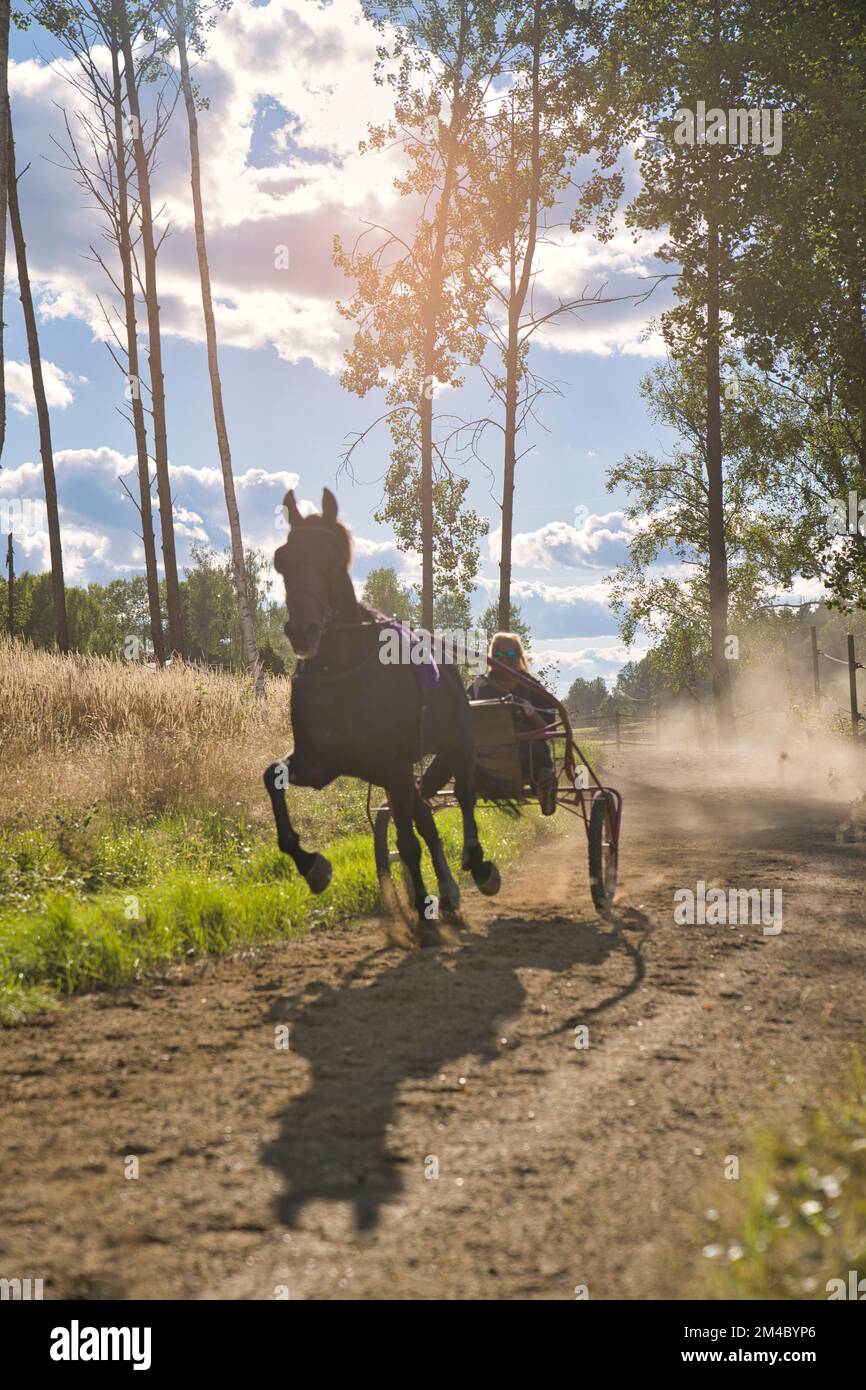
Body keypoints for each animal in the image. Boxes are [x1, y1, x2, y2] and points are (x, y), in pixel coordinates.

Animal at [268, 489, 505, 945]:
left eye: (332, 557)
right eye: (282, 559)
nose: (303, 631)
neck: (341, 672)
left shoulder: (393, 764)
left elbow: (407, 841)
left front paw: (423, 910)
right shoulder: (321, 763)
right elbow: (273, 777)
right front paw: (312, 866)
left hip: (458, 741)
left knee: (463, 797)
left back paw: (478, 864)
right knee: (426, 818)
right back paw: (448, 891)